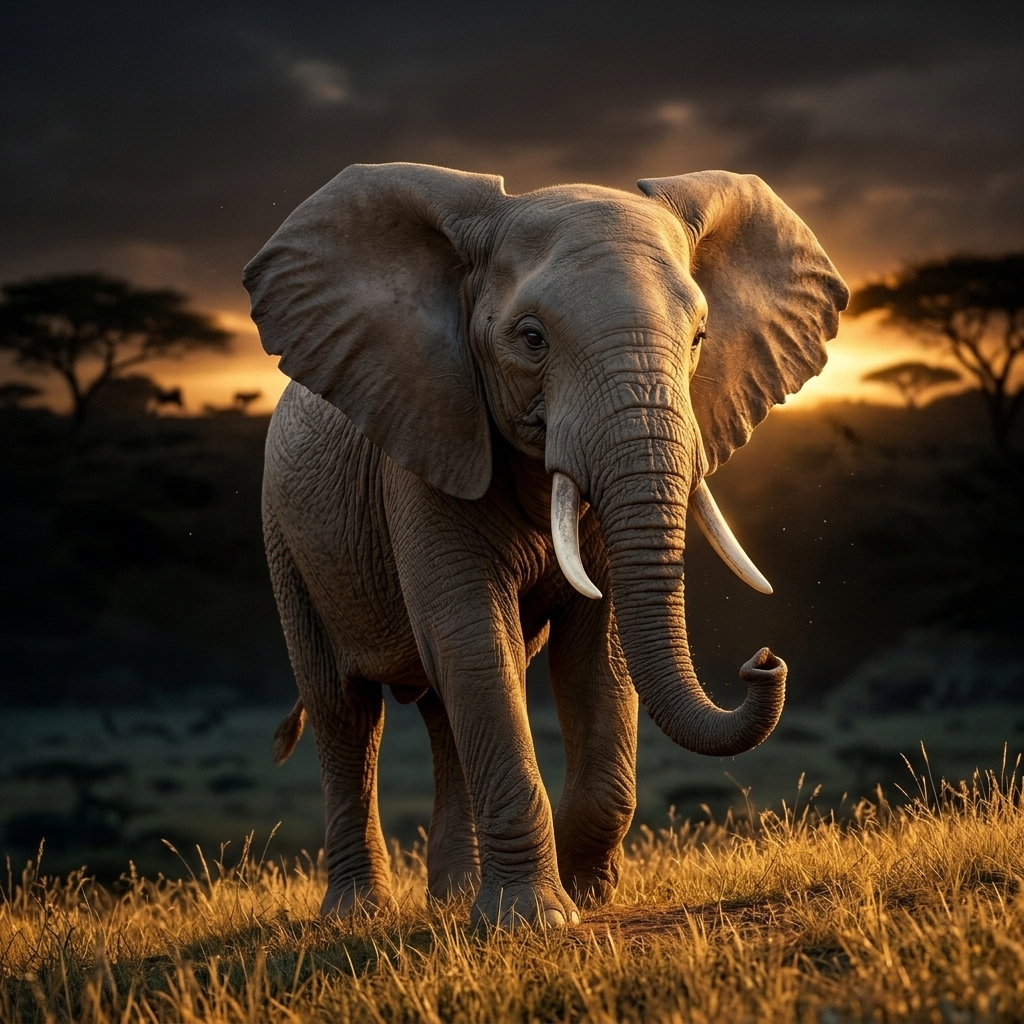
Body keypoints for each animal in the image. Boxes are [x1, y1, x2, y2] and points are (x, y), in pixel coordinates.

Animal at [242, 162, 848, 929]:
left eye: (700, 338)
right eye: (531, 339)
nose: (764, 660)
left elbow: (599, 651)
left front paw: (585, 896)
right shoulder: (429, 443)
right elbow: (474, 634)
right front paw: (533, 921)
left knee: (441, 710)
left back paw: (451, 899)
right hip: (284, 535)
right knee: (346, 711)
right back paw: (359, 915)